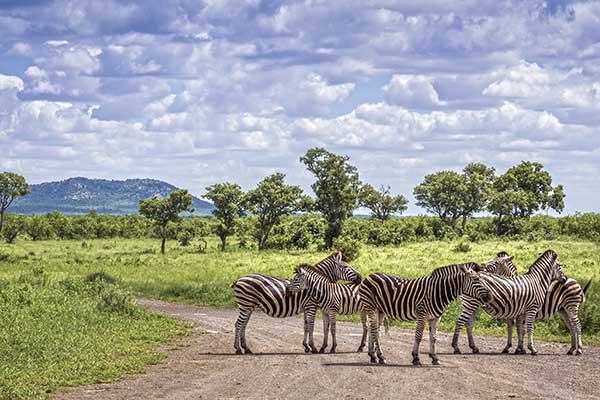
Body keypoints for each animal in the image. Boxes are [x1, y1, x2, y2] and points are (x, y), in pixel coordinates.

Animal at [231, 252, 360, 354]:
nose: (360, 277)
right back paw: (238, 349)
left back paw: (246, 348)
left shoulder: (307, 307)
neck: (315, 286)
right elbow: (311, 326)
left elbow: (305, 326)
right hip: (246, 305)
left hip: (248, 306)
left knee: (243, 325)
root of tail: (239, 279)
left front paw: (306, 347)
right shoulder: (311, 306)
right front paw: (313, 347)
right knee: (239, 324)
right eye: (345, 267)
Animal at [358, 262, 490, 366]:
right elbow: (419, 336)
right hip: (371, 307)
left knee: (373, 329)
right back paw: (381, 356)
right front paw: (416, 358)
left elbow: (433, 338)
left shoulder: (436, 318)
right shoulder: (422, 315)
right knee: (374, 330)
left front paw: (434, 358)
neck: (438, 292)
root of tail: (370, 276)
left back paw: (373, 356)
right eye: (476, 280)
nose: (489, 296)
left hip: (380, 311)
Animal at [452, 252, 588, 354]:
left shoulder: (518, 312)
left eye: (496, 262)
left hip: (567, 308)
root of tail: (575, 282)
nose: (481, 266)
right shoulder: (521, 311)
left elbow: (519, 329)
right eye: (559, 265)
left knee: (574, 325)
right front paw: (522, 348)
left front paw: (518, 348)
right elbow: (521, 329)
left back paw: (575, 349)